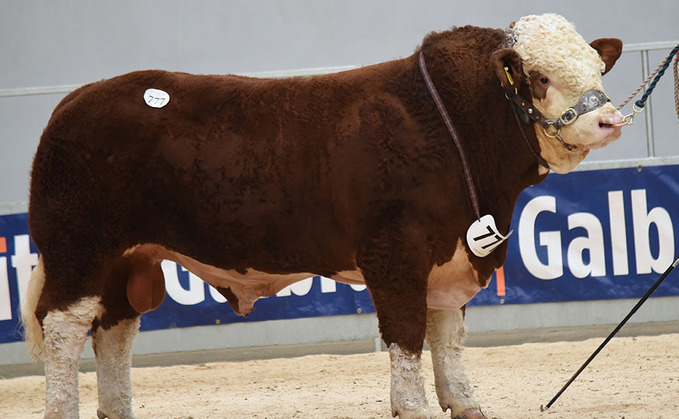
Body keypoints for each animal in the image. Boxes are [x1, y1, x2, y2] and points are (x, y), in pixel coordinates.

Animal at [23, 13, 624, 419]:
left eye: (598, 67)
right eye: (540, 77)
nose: (610, 121)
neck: (452, 126)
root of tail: (73, 102)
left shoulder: (453, 258)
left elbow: (448, 338)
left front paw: (465, 403)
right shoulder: (395, 259)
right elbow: (407, 339)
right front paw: (414, 407)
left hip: (125, 261)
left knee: (115, 328)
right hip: (79, 249)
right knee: (64, 326)